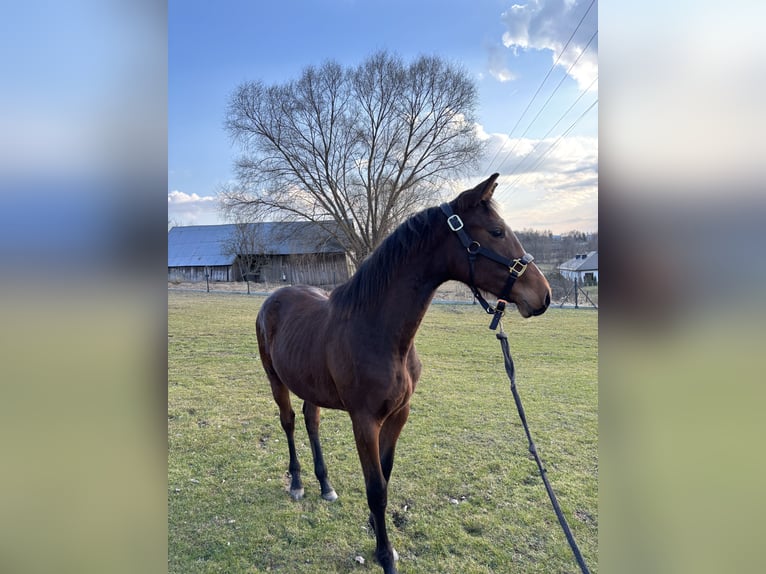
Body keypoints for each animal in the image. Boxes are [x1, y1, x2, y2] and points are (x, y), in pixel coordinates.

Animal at [255, 173, 551, 573]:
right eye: (496, 232)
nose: (543, 295)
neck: (378, 330)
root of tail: (273, 298)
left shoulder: (399, 414)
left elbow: (386, 472)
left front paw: (373, 528)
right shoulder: (364, 421)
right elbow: (376, 488)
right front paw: (385, 554)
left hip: (309, 384)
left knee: (310, 421)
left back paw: (325, 485)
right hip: (276, 380)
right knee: (288, 422)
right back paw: (298, 482)